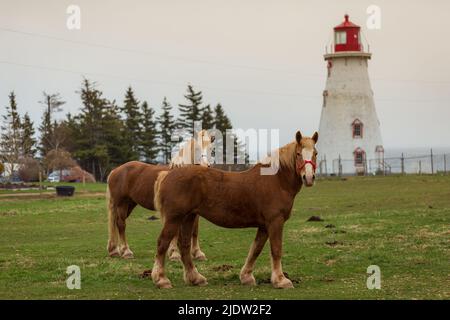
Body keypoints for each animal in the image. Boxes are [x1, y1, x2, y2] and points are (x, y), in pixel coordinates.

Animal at [108, 129, 215, 260]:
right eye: (197, 148)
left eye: (211, 149)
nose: (206, 166)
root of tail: (115, 170)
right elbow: (176, 232)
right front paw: (174, 254)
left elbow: (195, 230)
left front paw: (198, 253)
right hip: (121, 204)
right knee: (121, 224)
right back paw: (126, 251)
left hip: (130, 204)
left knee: (115, 222)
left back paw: (115, 251)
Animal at [153, 131, 318, 288]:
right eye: (298, 154)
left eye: (315, 153)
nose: (309, 178)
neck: (276, 180)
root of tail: (167, 174)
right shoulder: (275, 222)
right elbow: (276, 250)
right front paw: (281, 280)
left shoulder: (264, 226)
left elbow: (255, 250)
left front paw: (246, 277)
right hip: (175, 218)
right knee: (163, 243)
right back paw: (161, 279)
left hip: (189, 217)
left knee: (185, 245)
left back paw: (195, 278)